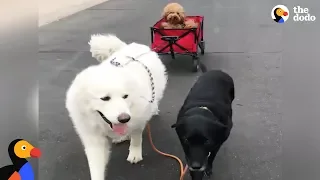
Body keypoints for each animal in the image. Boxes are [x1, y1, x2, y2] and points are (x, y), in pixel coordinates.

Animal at [66, 34, 169, 180]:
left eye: (125, 96)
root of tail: (134, 46)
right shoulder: (93, 138)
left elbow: (136, 138)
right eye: (105, 98)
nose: (124, 118)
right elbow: (96, 167)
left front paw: (135, 154)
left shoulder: (138, 120)